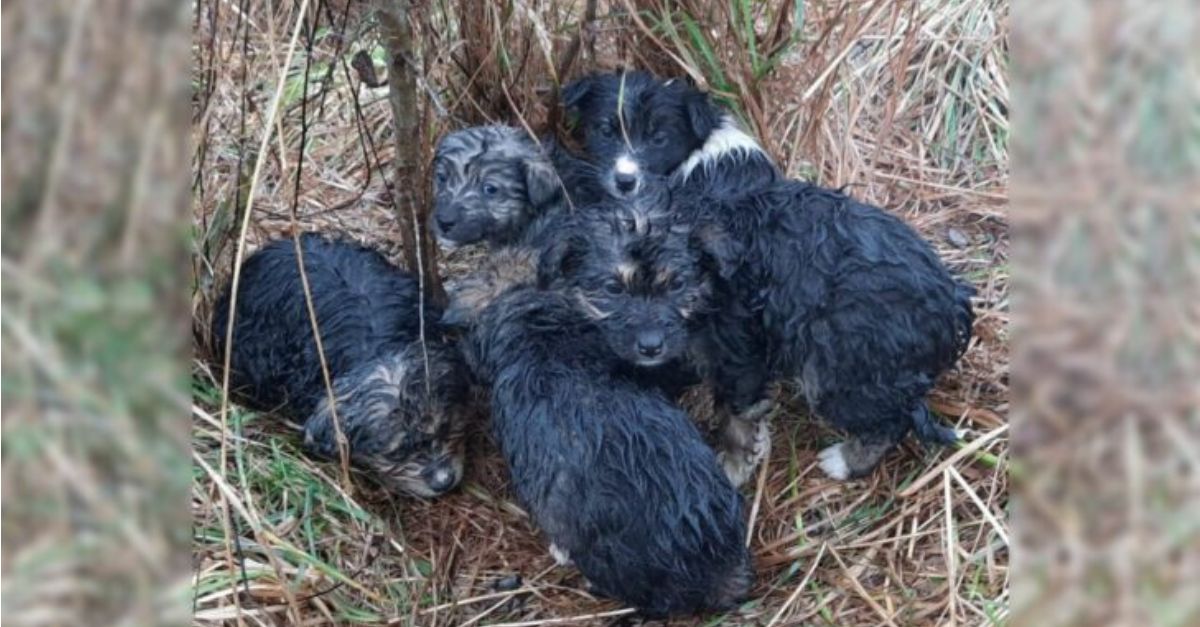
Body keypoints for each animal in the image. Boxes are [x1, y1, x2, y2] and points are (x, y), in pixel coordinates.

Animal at [564, 69, 974, 482]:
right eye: (604, 130)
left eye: (659, 137)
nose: (624, 181)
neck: (705, 156)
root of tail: (952, 301)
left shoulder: (739, 344)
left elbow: (737, 414)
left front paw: (734, 467)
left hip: (843, 371)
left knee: (893, 420)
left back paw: (844, 462)